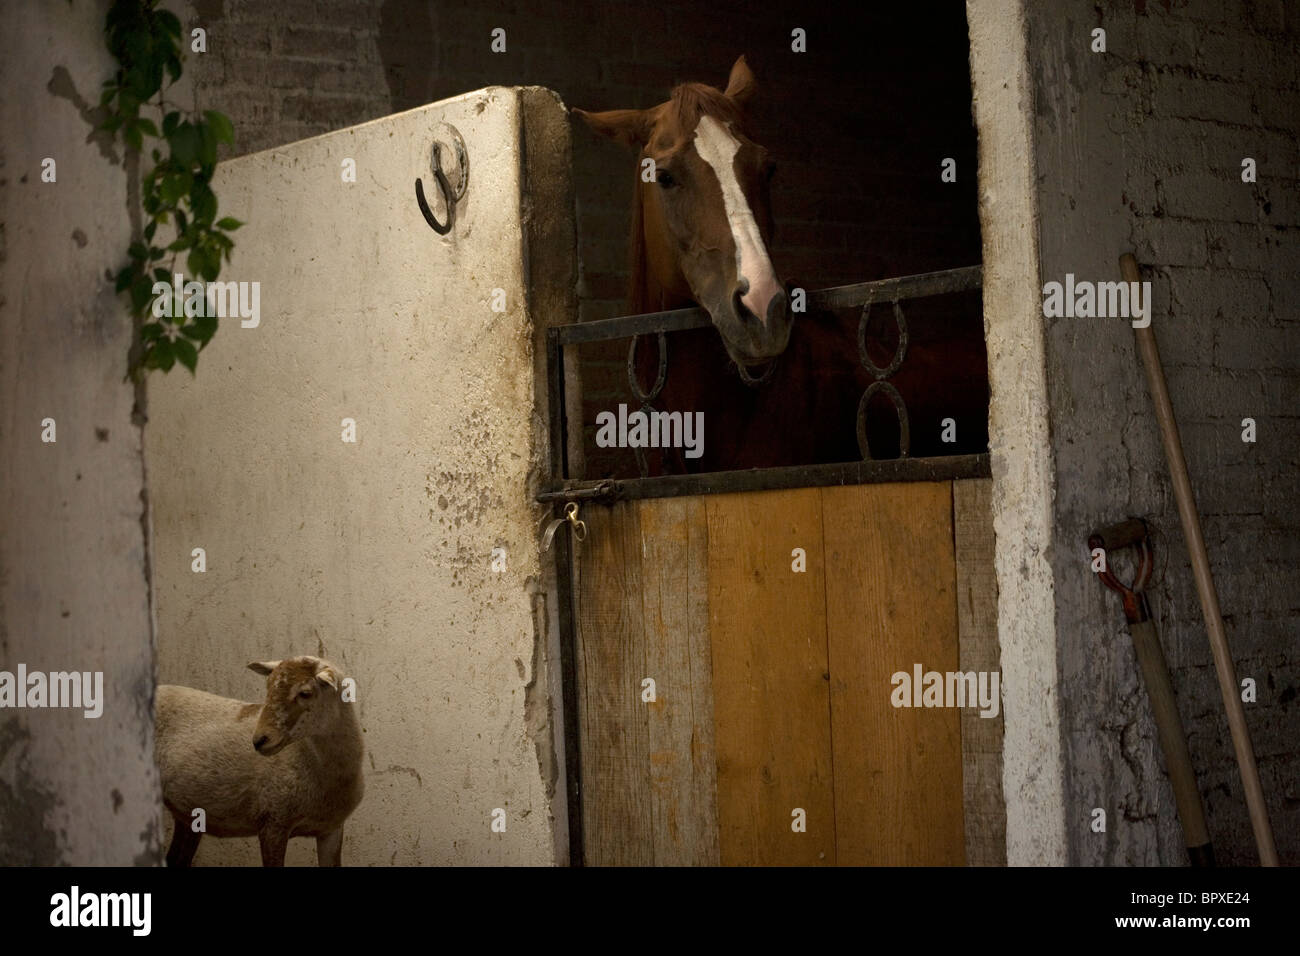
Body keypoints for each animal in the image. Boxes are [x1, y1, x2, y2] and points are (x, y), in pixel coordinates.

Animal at [155, 658, 364, 868]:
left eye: (305, 693)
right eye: (268, 688)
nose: (259, 740)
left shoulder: (331, 829)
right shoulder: (273, 822)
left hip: (188, 815)